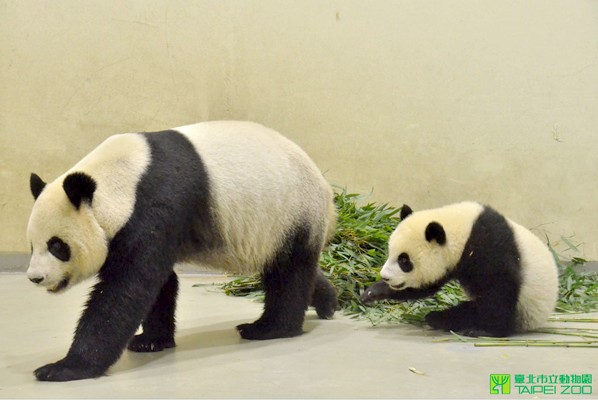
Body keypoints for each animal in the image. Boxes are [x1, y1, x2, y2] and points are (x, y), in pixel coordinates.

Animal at [27, 121, 338, 382]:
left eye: (57, 246)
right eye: (32, 244)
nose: (35, 278)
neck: (119, 179)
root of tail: (327, 192)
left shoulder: (155, 204)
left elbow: (125, 289)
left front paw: (63, 367)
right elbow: (157, 283)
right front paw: (151, 340)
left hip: (292, 212)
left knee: (288, 274)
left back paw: (269, 328)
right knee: (293, 269)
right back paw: (328, 301)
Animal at [360, 202, 564, 336]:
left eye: (404, 261)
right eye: (390, 252)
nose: (386, 277)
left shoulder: (489, 247)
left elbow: (500, 287)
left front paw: (487, 330)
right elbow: (427, 287)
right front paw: (372, 292)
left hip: (525, 310)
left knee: (473, 309)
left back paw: (441, 319)